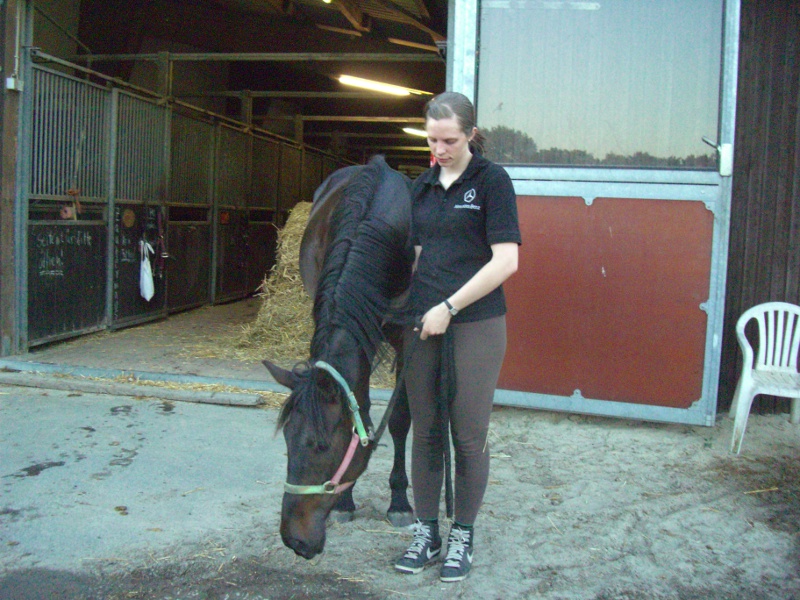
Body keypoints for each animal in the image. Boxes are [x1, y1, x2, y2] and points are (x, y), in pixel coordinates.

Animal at [262, 155, 415, 559]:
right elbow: (360, 406)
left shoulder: (409, 335)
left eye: (321, 446)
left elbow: (400, 420)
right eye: (286, 441)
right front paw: (345, 504)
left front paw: (399, 502)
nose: (294, 541)